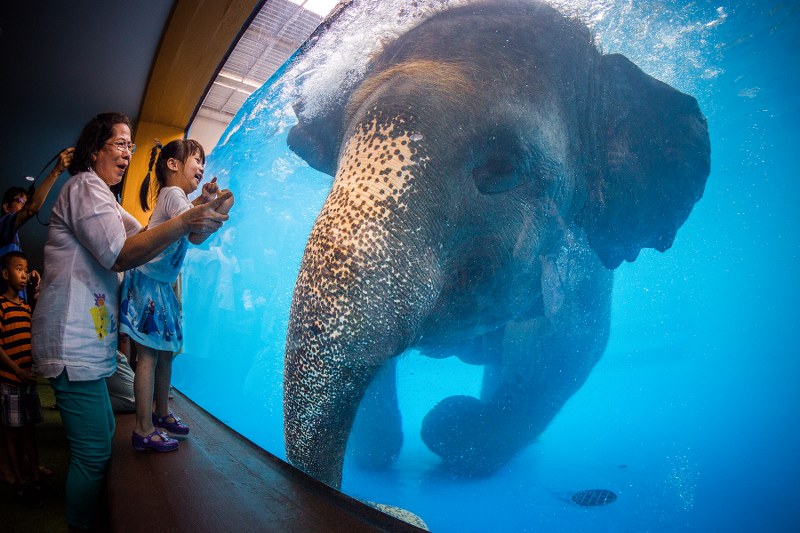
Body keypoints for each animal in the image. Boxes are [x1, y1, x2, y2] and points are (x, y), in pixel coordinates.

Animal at [283, 0, 710, 490]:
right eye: (336, 157)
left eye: (504, 167)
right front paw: (380, 452)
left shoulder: (582, 268)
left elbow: (563, 351)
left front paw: (452, 431)